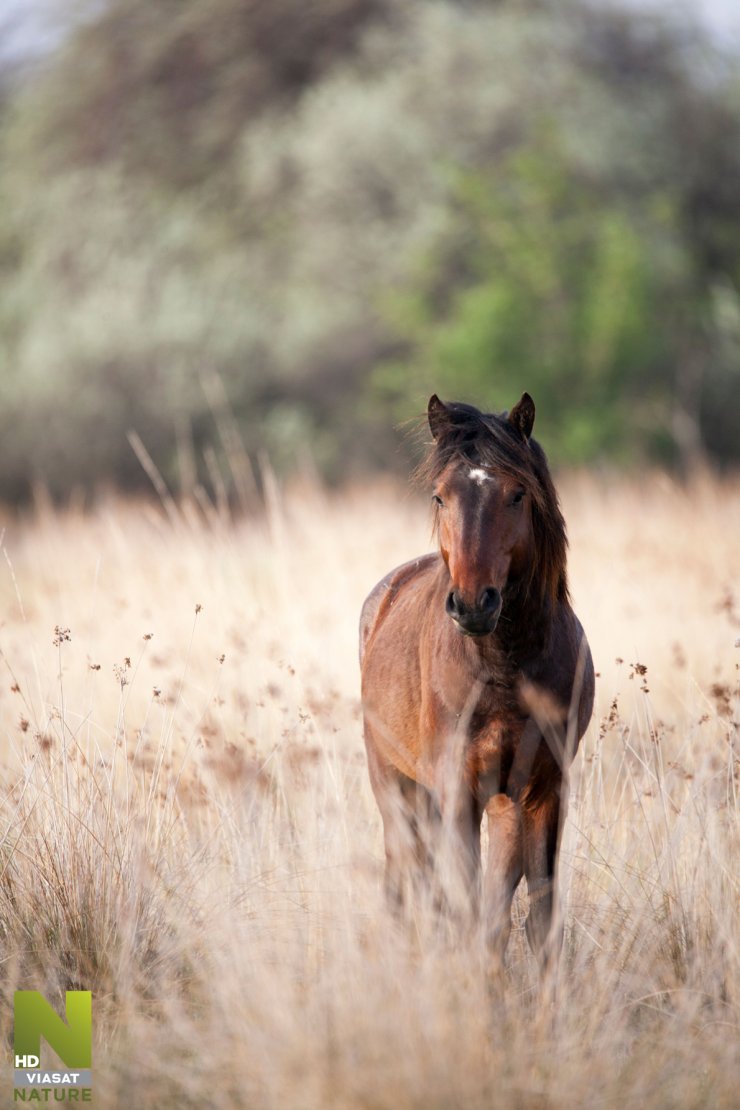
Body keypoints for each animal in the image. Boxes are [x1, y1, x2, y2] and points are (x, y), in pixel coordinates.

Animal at [359, 395, 594, 967]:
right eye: (440, 496)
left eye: (517, 493)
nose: (472, 604)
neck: (506, 670)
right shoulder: (459, 788)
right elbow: (470, 912)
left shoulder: (539, 790)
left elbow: (531, 919)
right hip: (394, 787)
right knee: (406, 883)